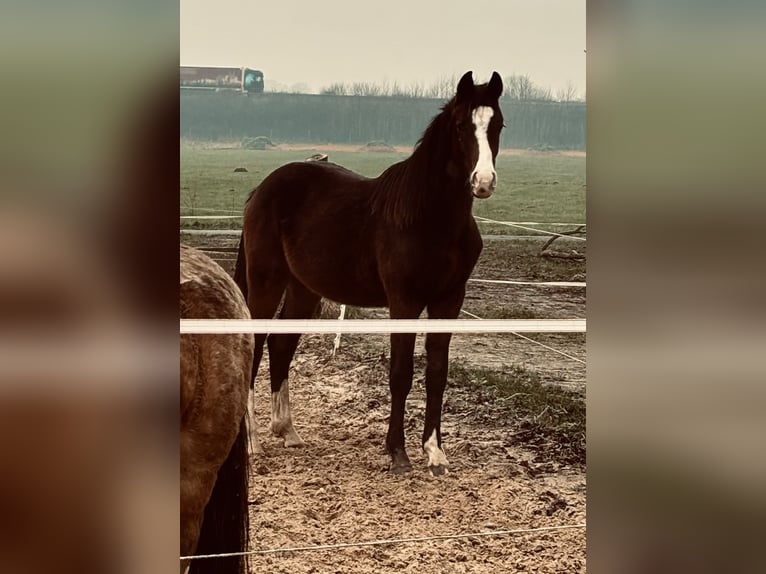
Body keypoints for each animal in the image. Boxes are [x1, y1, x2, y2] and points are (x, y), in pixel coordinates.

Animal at [237, 72, 508, 476]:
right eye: (461, 126)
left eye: (498, 125)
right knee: (255, 343)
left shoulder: (449, 300)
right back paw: (252, 442)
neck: (428, 218)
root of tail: (261, 189)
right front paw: (398, 453)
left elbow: (437, 373)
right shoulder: (404, 302)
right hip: (266, 282)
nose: (483, 181)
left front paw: (435, 453)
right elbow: (401, 373)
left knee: (281, 345)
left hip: (304, 289)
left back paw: (287, 431)